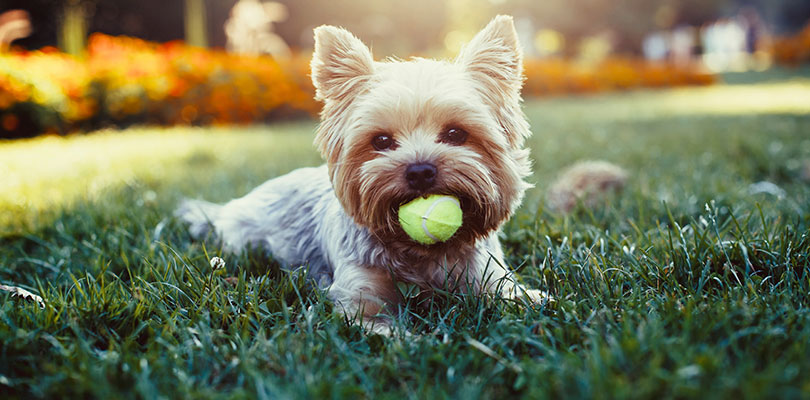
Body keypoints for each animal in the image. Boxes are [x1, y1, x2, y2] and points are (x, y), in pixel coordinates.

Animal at [174, 14, 548, 334]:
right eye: (381, 141)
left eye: (456, 134)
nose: (420, 170)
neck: (421, 253)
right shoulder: (360, 294)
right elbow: (379, 325)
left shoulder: (487, 275)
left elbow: (517, 297)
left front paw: (534, 300)